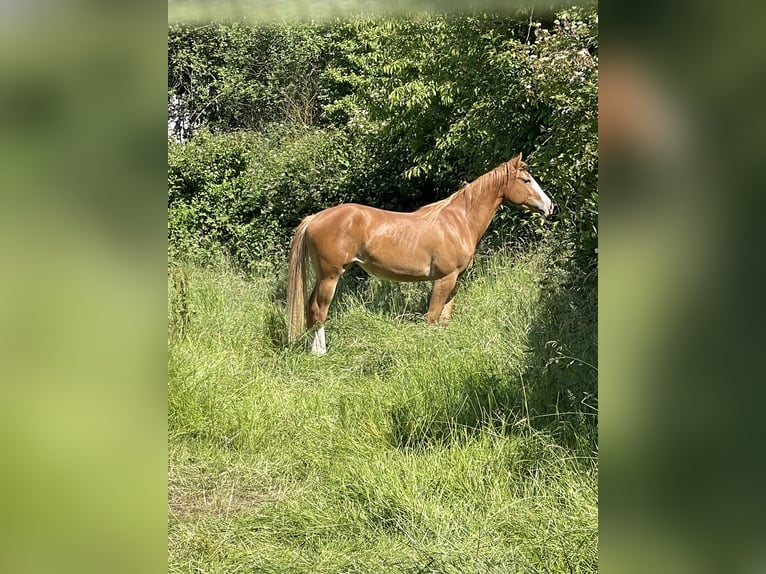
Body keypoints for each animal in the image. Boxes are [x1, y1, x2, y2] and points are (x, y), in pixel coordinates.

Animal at [286, 153, 554, 354]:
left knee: (310, 307)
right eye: (526, 180)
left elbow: (444, 318)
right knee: (319, 311)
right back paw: (320, 352)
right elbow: (432, 318)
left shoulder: (455, 281)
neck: (459, 222)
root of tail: (314, 218)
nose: (550, 206)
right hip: (330, 276)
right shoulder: (444, 279)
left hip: (323, 276)